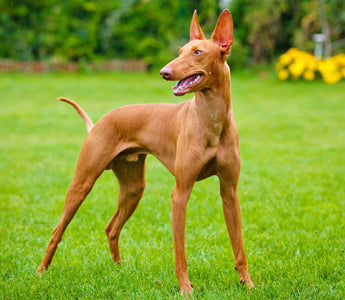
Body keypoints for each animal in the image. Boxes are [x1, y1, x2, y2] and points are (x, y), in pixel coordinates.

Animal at [37, 8, 253, 292]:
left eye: (197, 52)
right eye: (180, 50)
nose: (164, 72)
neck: (211, 121)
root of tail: (99, 122)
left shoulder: (229, 192)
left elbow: (239, 247)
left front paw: (248, 283)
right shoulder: (180, 193)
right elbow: (180, 252)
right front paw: (185, 288)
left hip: (133, 189)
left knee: (111, 228)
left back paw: (119, 270)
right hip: (82, 184)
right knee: (57, 231)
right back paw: (41, 272)